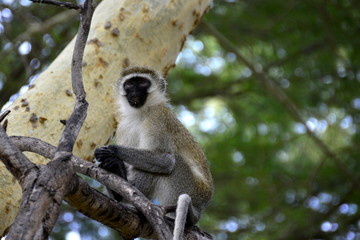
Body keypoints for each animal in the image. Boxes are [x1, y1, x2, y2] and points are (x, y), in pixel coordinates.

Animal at [95, 66, 214, 240]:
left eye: (142, 82)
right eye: (130, 84)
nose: (135, 91)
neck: (141, 113)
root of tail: (201, 209)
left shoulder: (158, 118)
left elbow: (165, 160)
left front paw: (112, 152)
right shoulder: (123, 126)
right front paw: (112, 163)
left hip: (187, 187)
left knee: (168, 164)